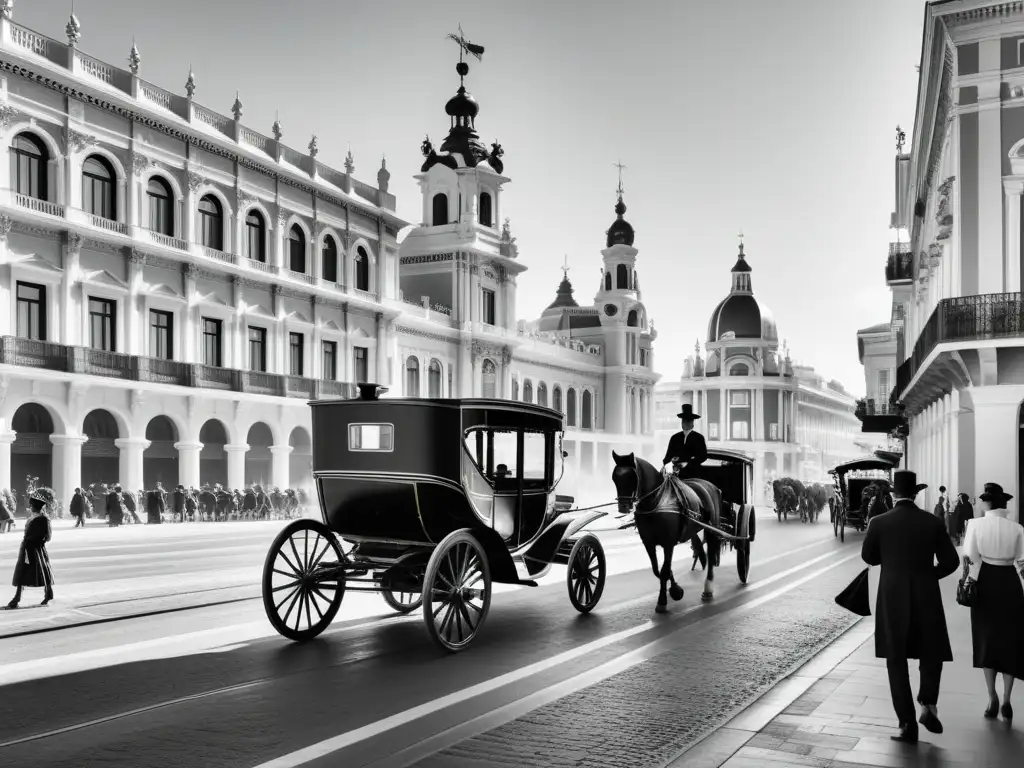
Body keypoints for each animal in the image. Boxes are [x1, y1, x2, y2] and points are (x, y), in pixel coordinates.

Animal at [610, 450, 724, 614]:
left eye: (632, 477)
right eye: (615, 477)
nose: (623, 507)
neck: (656, 501)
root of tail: (711, 487)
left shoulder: (668, 543)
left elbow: (664, 570)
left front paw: (664, 600)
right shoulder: (649, 543)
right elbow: (658, 570)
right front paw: (675, 589)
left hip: (711, 530)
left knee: (710, 553)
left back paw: (708, 589)